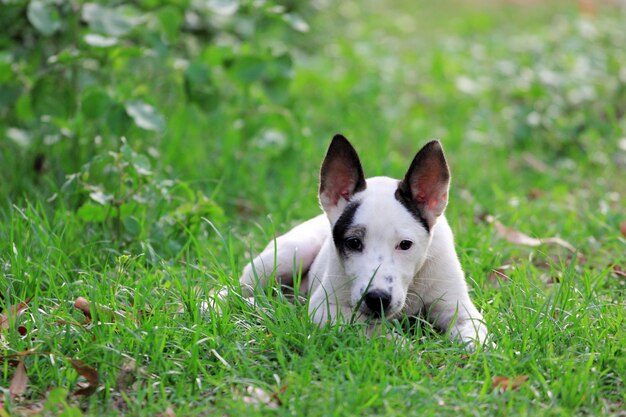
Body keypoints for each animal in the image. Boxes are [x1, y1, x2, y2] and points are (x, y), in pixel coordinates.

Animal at [236, 135, 486, 346]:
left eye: (406, 245)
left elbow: (476, 338)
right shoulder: (324, 308)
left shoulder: (459, 310)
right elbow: (371, 327)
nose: (377, 299)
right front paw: (405, 347)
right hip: (290, 254)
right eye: (353, 243)